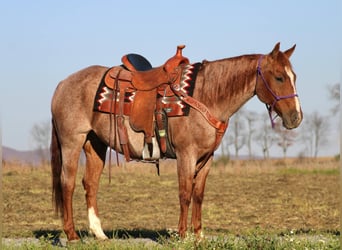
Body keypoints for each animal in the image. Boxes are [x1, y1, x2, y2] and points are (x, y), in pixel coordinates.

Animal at [50, 43, 302, 242]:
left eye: (294, 77)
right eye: (279, 77)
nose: (296, 117)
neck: (206, 95)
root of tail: (62, 84)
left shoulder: (206, 158)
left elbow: (198, 195)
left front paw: (199, 235)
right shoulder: (186, 155)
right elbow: (185, 193)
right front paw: (182, 235)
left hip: (95, 144)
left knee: (90, 183)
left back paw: (99, 234)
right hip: (72, 142)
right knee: (68, 183)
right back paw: (72, 235)